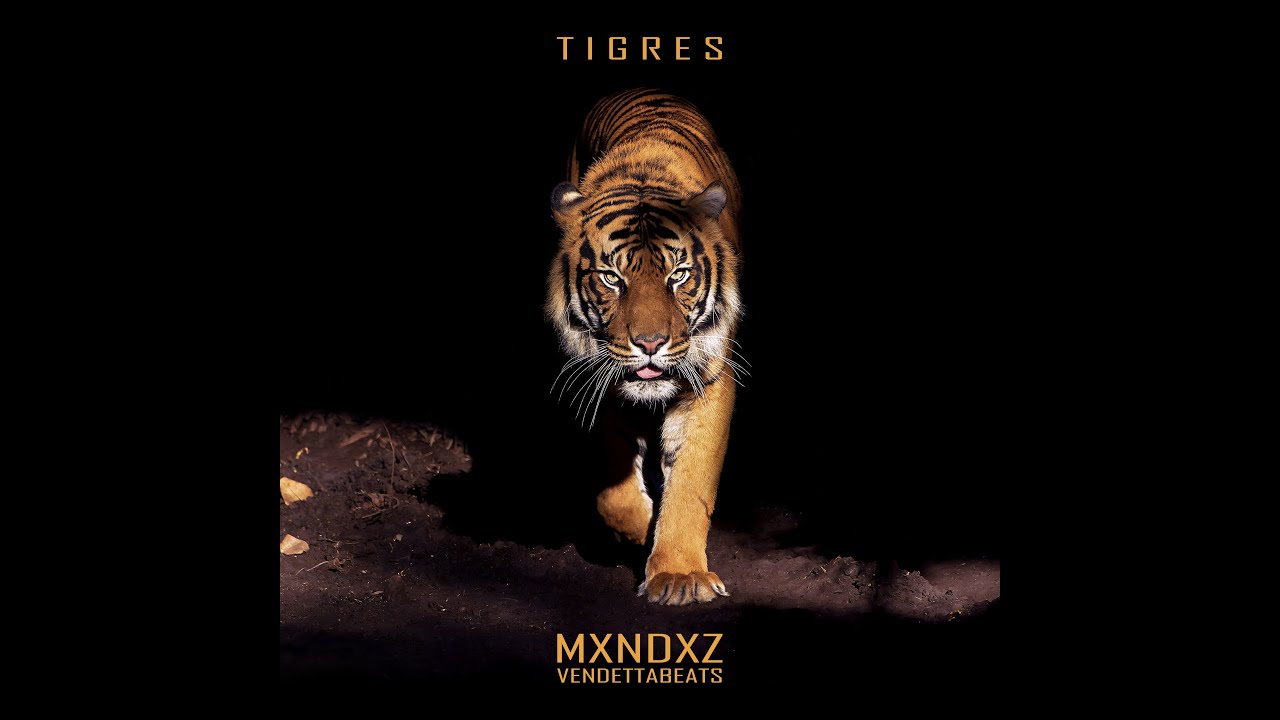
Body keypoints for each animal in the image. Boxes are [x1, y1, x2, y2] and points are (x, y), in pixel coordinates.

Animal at [546, 89, 743, 606]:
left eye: (679, 275)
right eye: (613, 278)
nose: (651, 343)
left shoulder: (709, 379)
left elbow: (691, 481)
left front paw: (679, 575)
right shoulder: (600, 375)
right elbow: (612, 487)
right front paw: (639, 529)